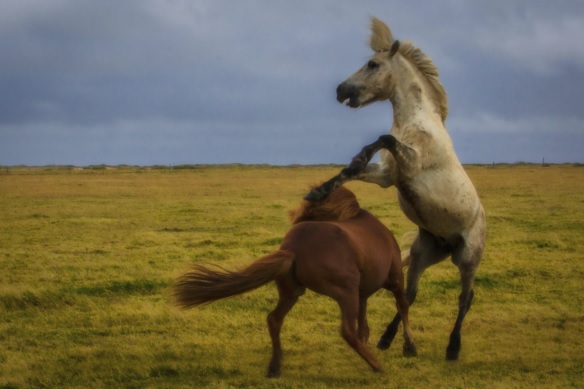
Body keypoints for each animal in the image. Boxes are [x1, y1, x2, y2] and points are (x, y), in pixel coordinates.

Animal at [173, 186, 416, 374]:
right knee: (346, 330)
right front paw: (409, 347)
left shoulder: (363, 292)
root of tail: (293, 250)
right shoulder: (394, 278)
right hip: (344, 292)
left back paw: (275, 367)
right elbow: (402, 305)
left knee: (274, 319)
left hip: (293, 292)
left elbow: (364, 324)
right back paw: (377, 365)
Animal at [306, 16, 488, 360]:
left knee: (465, 298)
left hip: (468, 258)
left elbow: (383, 138)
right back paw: (388, 340)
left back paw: (452, 348)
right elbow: (352, 170)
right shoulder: (388, 175)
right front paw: (317, 193)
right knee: (411, 293)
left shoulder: (411, 165)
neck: (418, 123)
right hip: (422, 254)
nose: (341, 90)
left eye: (372, 64)